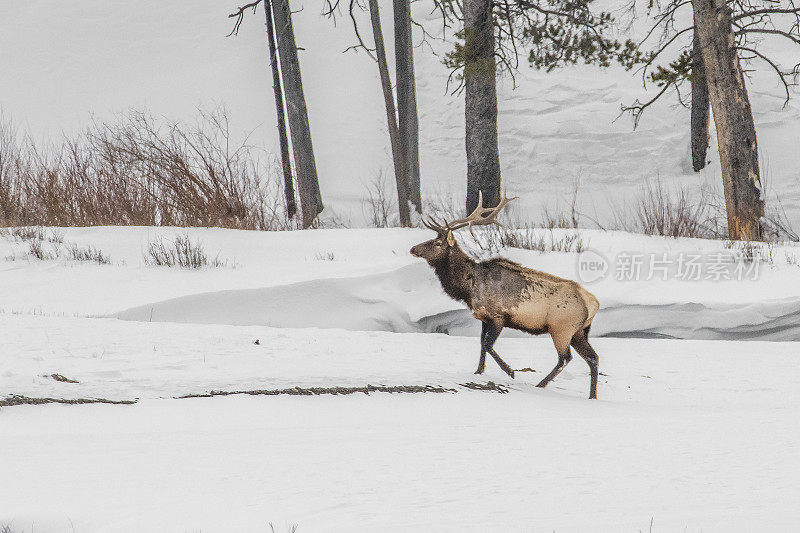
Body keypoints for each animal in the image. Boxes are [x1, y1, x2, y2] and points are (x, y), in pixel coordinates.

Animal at [412, 193, 600, 396]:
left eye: (437, 243)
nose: (413, 249)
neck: (467, 288)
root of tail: (593, 303)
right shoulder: (484, 318)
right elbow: (481, 344)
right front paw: (478, 371)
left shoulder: (498, 316)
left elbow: (488, 344)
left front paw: (510, 371)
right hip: (580, 331)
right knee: (593, 358)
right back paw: (592, 395)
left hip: (562, 328)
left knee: (565, 358)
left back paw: (541, 384)